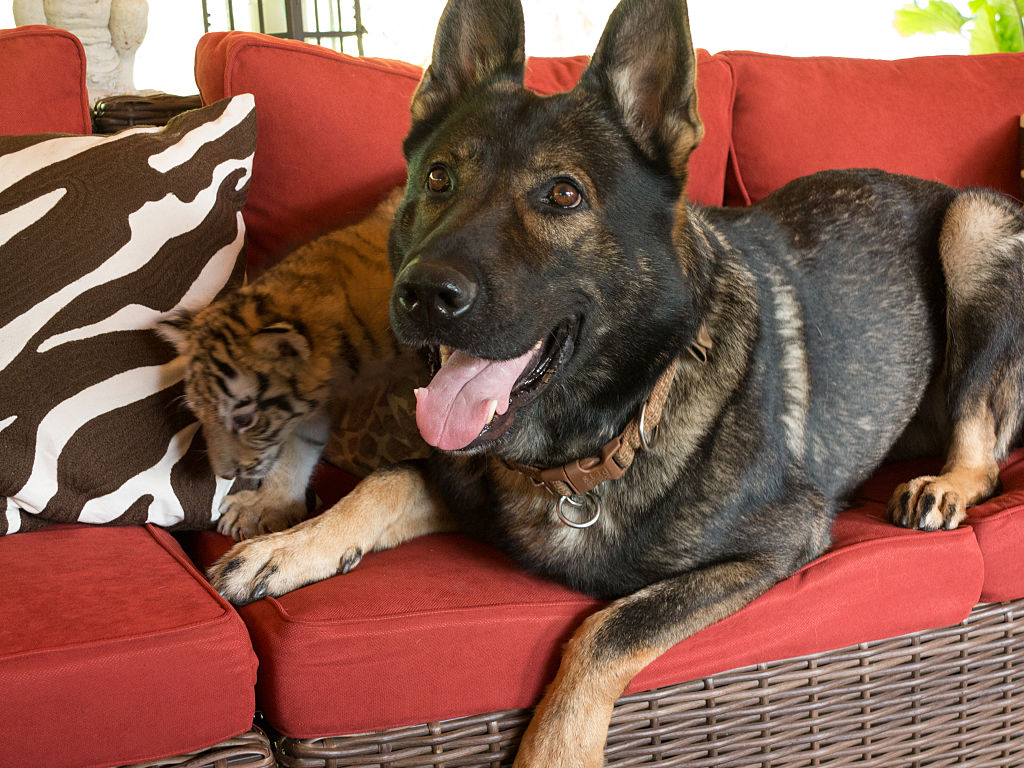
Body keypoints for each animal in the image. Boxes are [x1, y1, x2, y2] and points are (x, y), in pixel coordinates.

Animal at [207, 0, 1024, 761]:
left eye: (563, 195)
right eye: (438, 178)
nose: (423, 294)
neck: (605, 434)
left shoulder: (778, 542)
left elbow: (607, 626)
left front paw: (554, 749)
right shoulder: (463, 484)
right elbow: (384, 481)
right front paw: (290, 545)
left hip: (974, 225)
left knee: (983, 446)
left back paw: (946, 484)